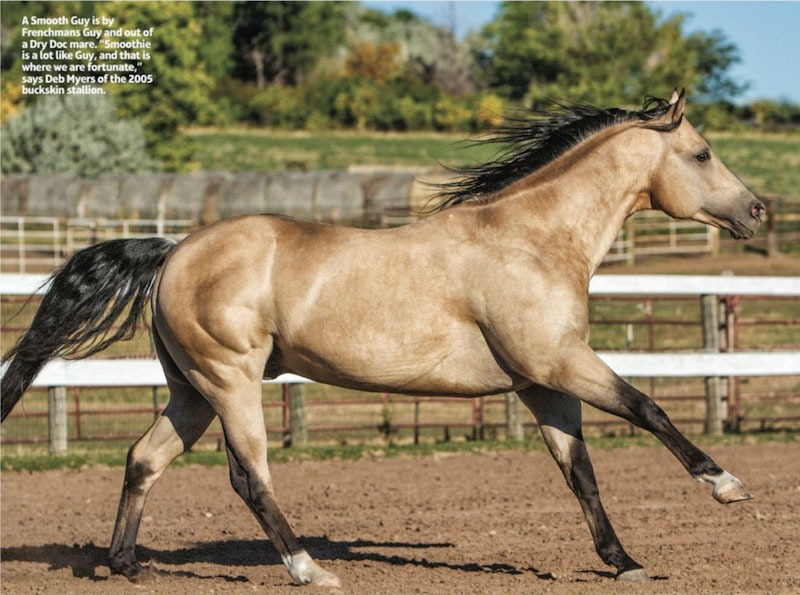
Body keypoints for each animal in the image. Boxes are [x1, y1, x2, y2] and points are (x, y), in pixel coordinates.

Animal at [1, 90, 763, 588]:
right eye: (702, 153)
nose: (757, 210)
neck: (531, 239)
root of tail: (173, 251)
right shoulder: (562, 363)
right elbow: (648, 408)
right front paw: (727, 487)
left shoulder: (543, 383)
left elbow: (581, 472)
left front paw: (623, 560)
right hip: (230, 381)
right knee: (248, 475)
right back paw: (308, 568)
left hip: (190, 390)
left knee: (143, 458)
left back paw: (124, 563)